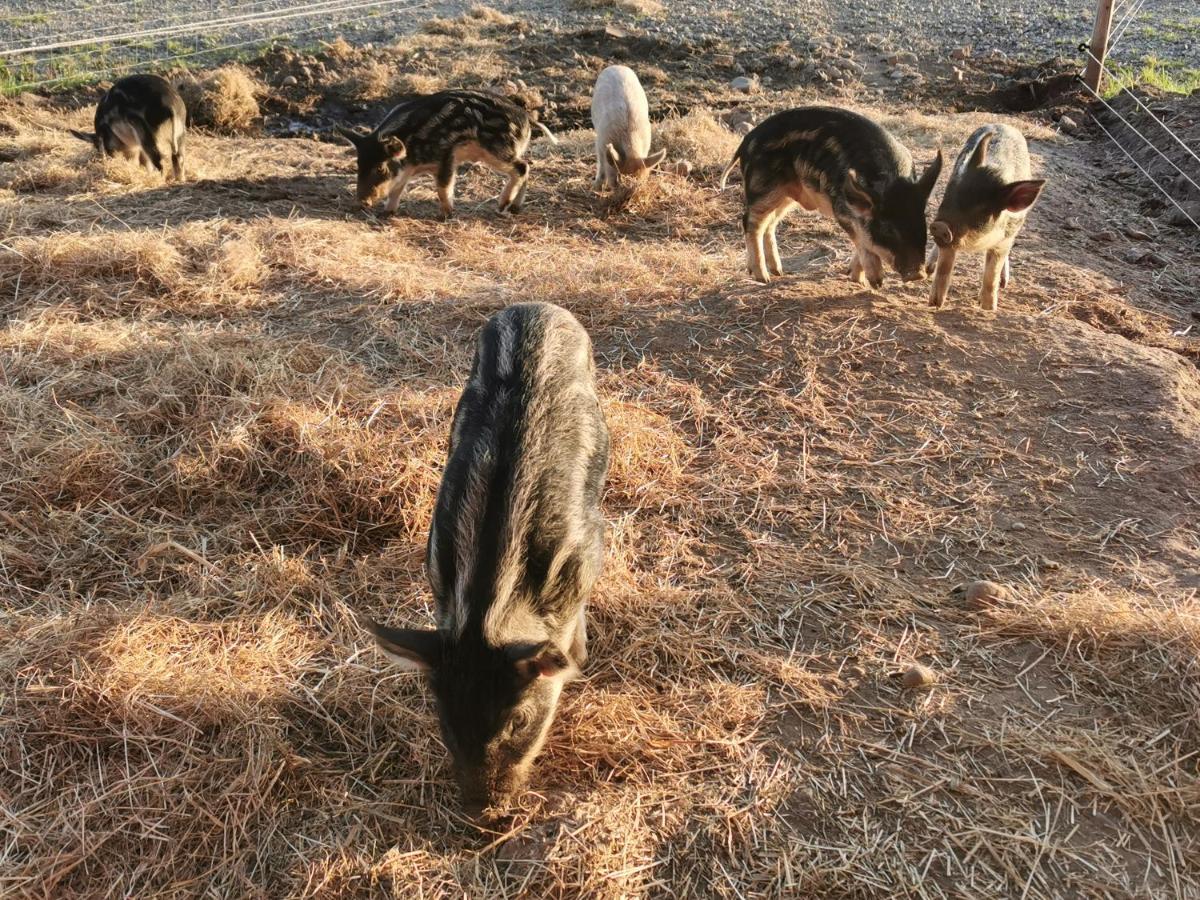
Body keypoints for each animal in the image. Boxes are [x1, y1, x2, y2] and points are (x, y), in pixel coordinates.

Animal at [336, 90, 554, 218]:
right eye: (358, 165)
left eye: (380, 168)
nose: (361, 202)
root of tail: (526, 117)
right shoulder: (407, 171)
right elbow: (398, 188)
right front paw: (388, 213)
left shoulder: (447, 155)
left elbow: (443, 186)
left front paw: (446, 215)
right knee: (526, 165)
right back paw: (515, 209)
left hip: (498, 150)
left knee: (521, 167)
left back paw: (501, 207)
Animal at [360, 303, 609, 816]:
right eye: (443, 716)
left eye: (518, 721)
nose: (481, 812)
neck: (487, 605)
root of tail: (538, 307)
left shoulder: (589, 550)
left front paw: (580, 661)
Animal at [715, 106, 940, 286]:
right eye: (887, 229)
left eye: (922, 224)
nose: (918, 274)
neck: (890, 180)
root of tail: (747, 139)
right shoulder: (840, 208)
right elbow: (862, 240)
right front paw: (875, 283)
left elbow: (863, 240)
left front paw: (856, 279)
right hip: (763, 187)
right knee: (750, 221)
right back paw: (764, 278)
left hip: (785, 196)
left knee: (769, 224)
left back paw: (778, 271)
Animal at [921, 125, 1046, 312]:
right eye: (950, 195)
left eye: (982, 208)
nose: (940, 226)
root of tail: (1005, 124)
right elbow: (945, 266)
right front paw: (935, 304)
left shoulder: (1004, 239)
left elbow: (991, 275)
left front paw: (989, 309)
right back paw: (928, 269)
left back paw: (1004, 283)